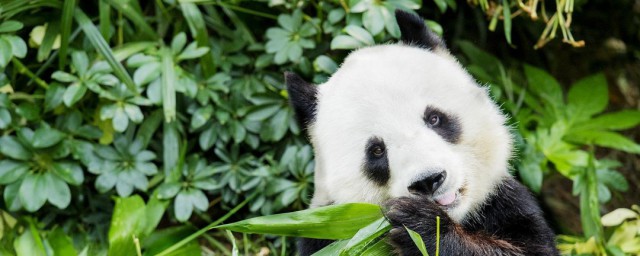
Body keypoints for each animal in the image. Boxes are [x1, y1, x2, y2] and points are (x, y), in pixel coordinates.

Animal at [288, 9, 556, 255]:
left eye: (434, 118)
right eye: (376, 150)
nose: (428, 180)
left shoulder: (505, 203)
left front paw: (422, 227)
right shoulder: (325, 229)